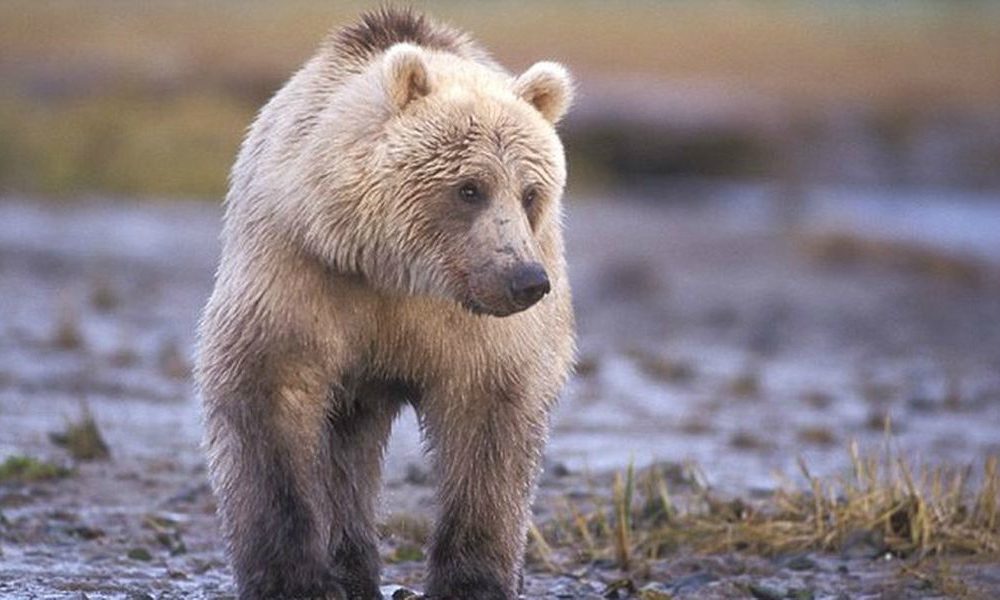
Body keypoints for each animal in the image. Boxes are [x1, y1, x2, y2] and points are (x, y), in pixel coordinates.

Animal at [192, 5, 576, 600]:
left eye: (530, 192)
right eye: (470, 188)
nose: (526, 279)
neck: (393, 271)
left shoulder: (476, 330)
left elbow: (490, 427)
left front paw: (473, 580)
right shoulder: (300, 272)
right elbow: (268, 395)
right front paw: (296, 579)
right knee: (345, 451)